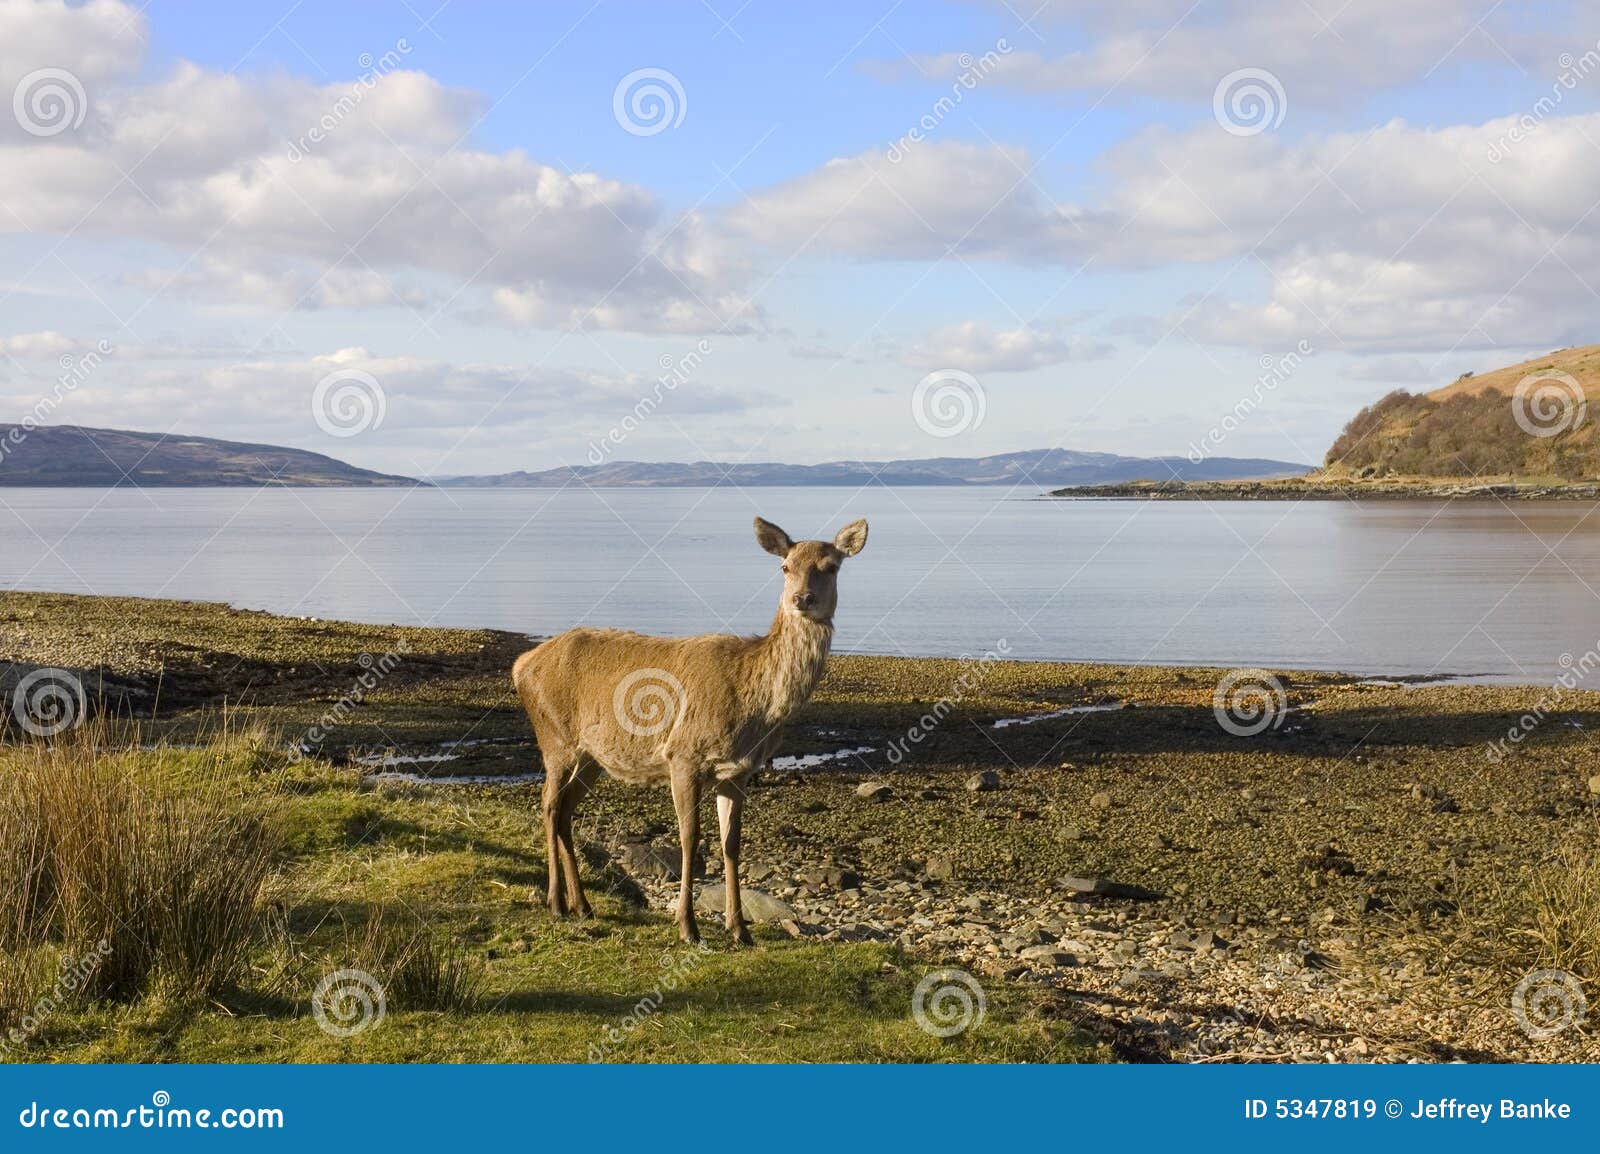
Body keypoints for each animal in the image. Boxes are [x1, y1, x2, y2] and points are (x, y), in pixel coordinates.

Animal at [512, 516, 868, 945]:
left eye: (830, 567)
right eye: (785, 566)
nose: (802, 599)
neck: (752, 703)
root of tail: (520, 664)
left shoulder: (739, 770)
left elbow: (732, 843)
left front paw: (739, 929)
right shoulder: (682, 755)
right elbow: (689, 837)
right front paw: (688, 927)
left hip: (592, 757)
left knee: (565, 811)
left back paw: (583, 905)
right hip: (555, 739)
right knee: (548, 805)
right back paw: (556, 903)